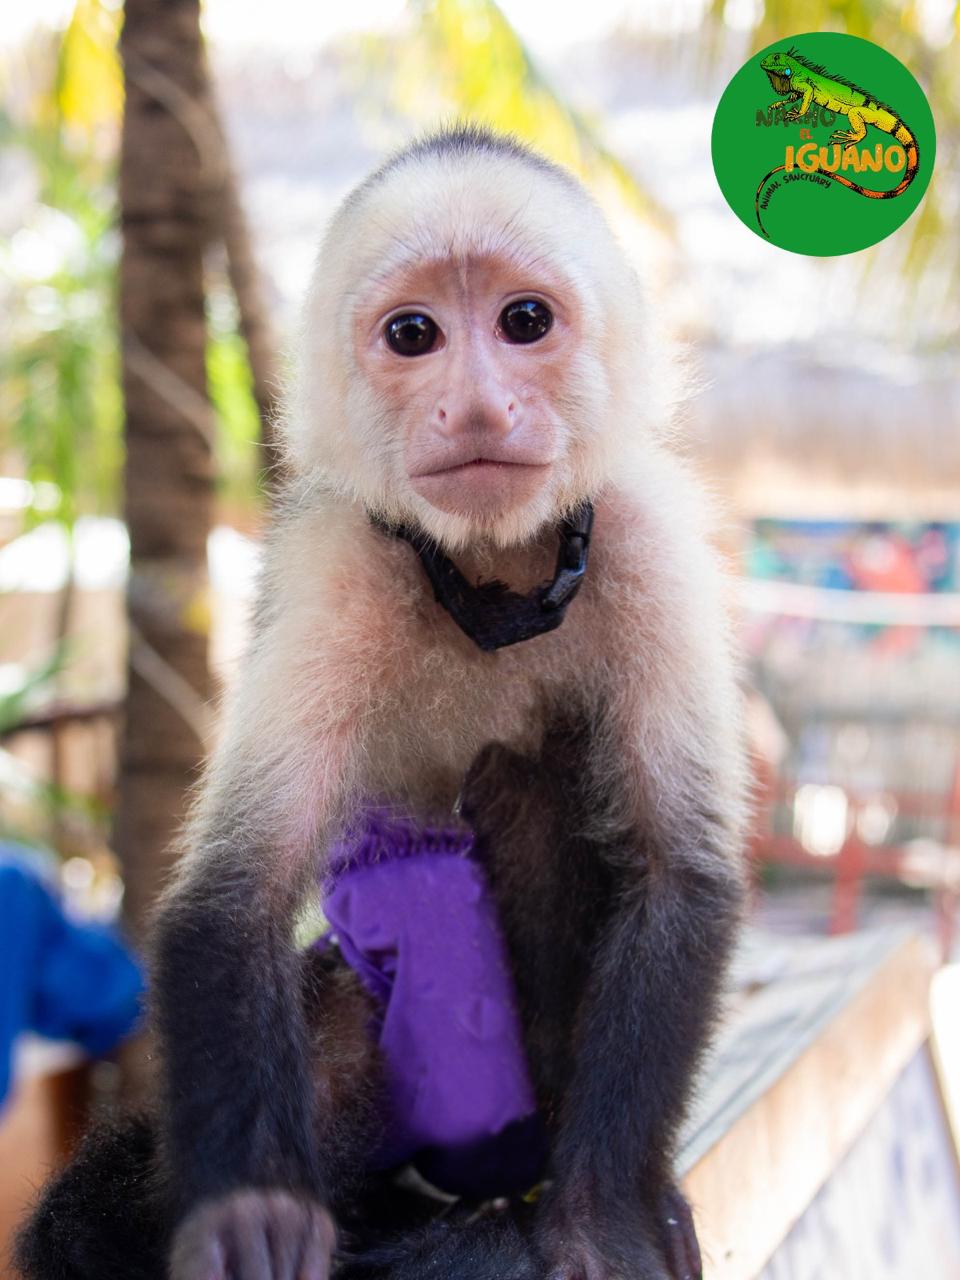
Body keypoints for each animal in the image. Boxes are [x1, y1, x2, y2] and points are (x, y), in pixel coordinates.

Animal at [15, 125, 747, 1280]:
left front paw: (603, 1219)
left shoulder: (650, 538)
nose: (480, 406)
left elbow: (679, 872)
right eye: (414, 335)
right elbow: (237, 896)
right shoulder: (333, 560)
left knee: (531, 775)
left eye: (524, 321)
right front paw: (248, 1213)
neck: (494, 577)